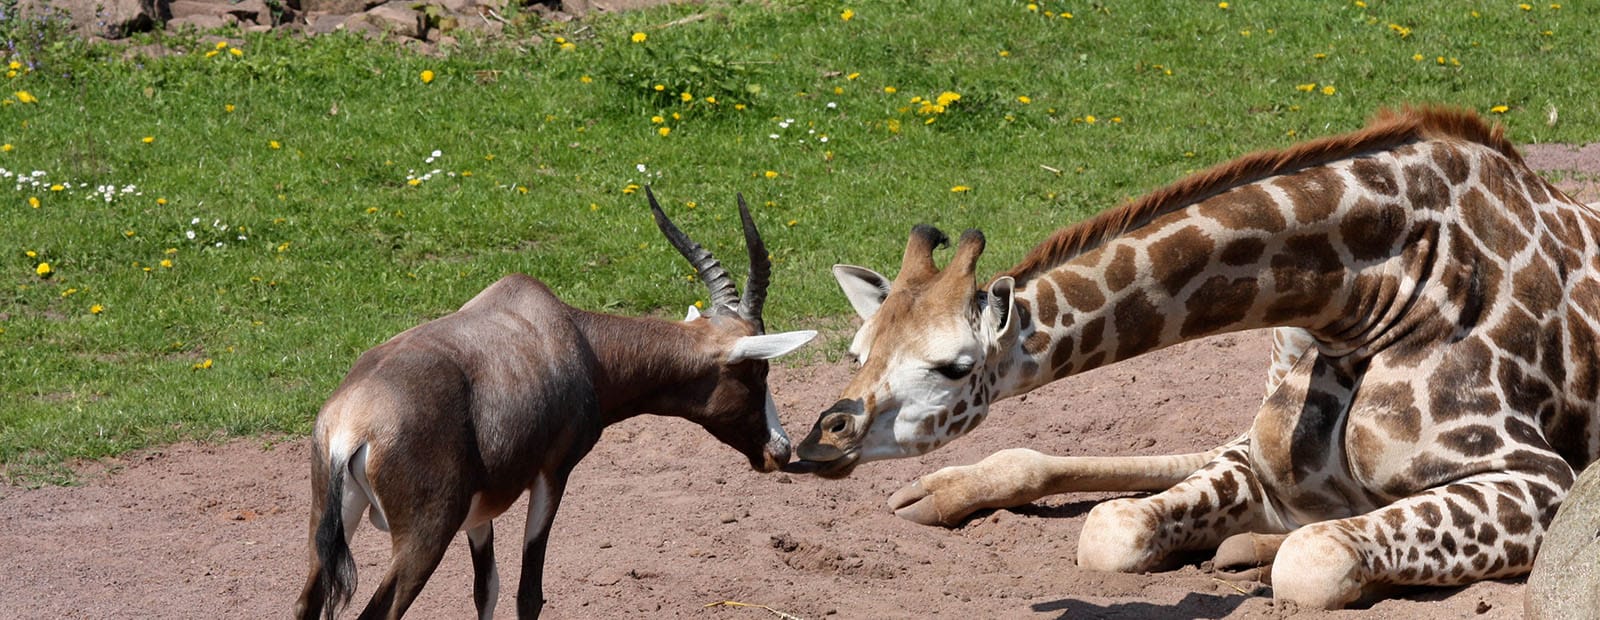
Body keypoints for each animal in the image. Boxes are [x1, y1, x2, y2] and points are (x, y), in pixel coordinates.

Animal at [787, 107, 1600, 610]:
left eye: (954, 366)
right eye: (858, 349)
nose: (820, 437)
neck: (1366, 298)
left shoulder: (1537, 479)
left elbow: (1313, 559)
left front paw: (1264, 552)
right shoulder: (1260, 461)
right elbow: (1113, 530)